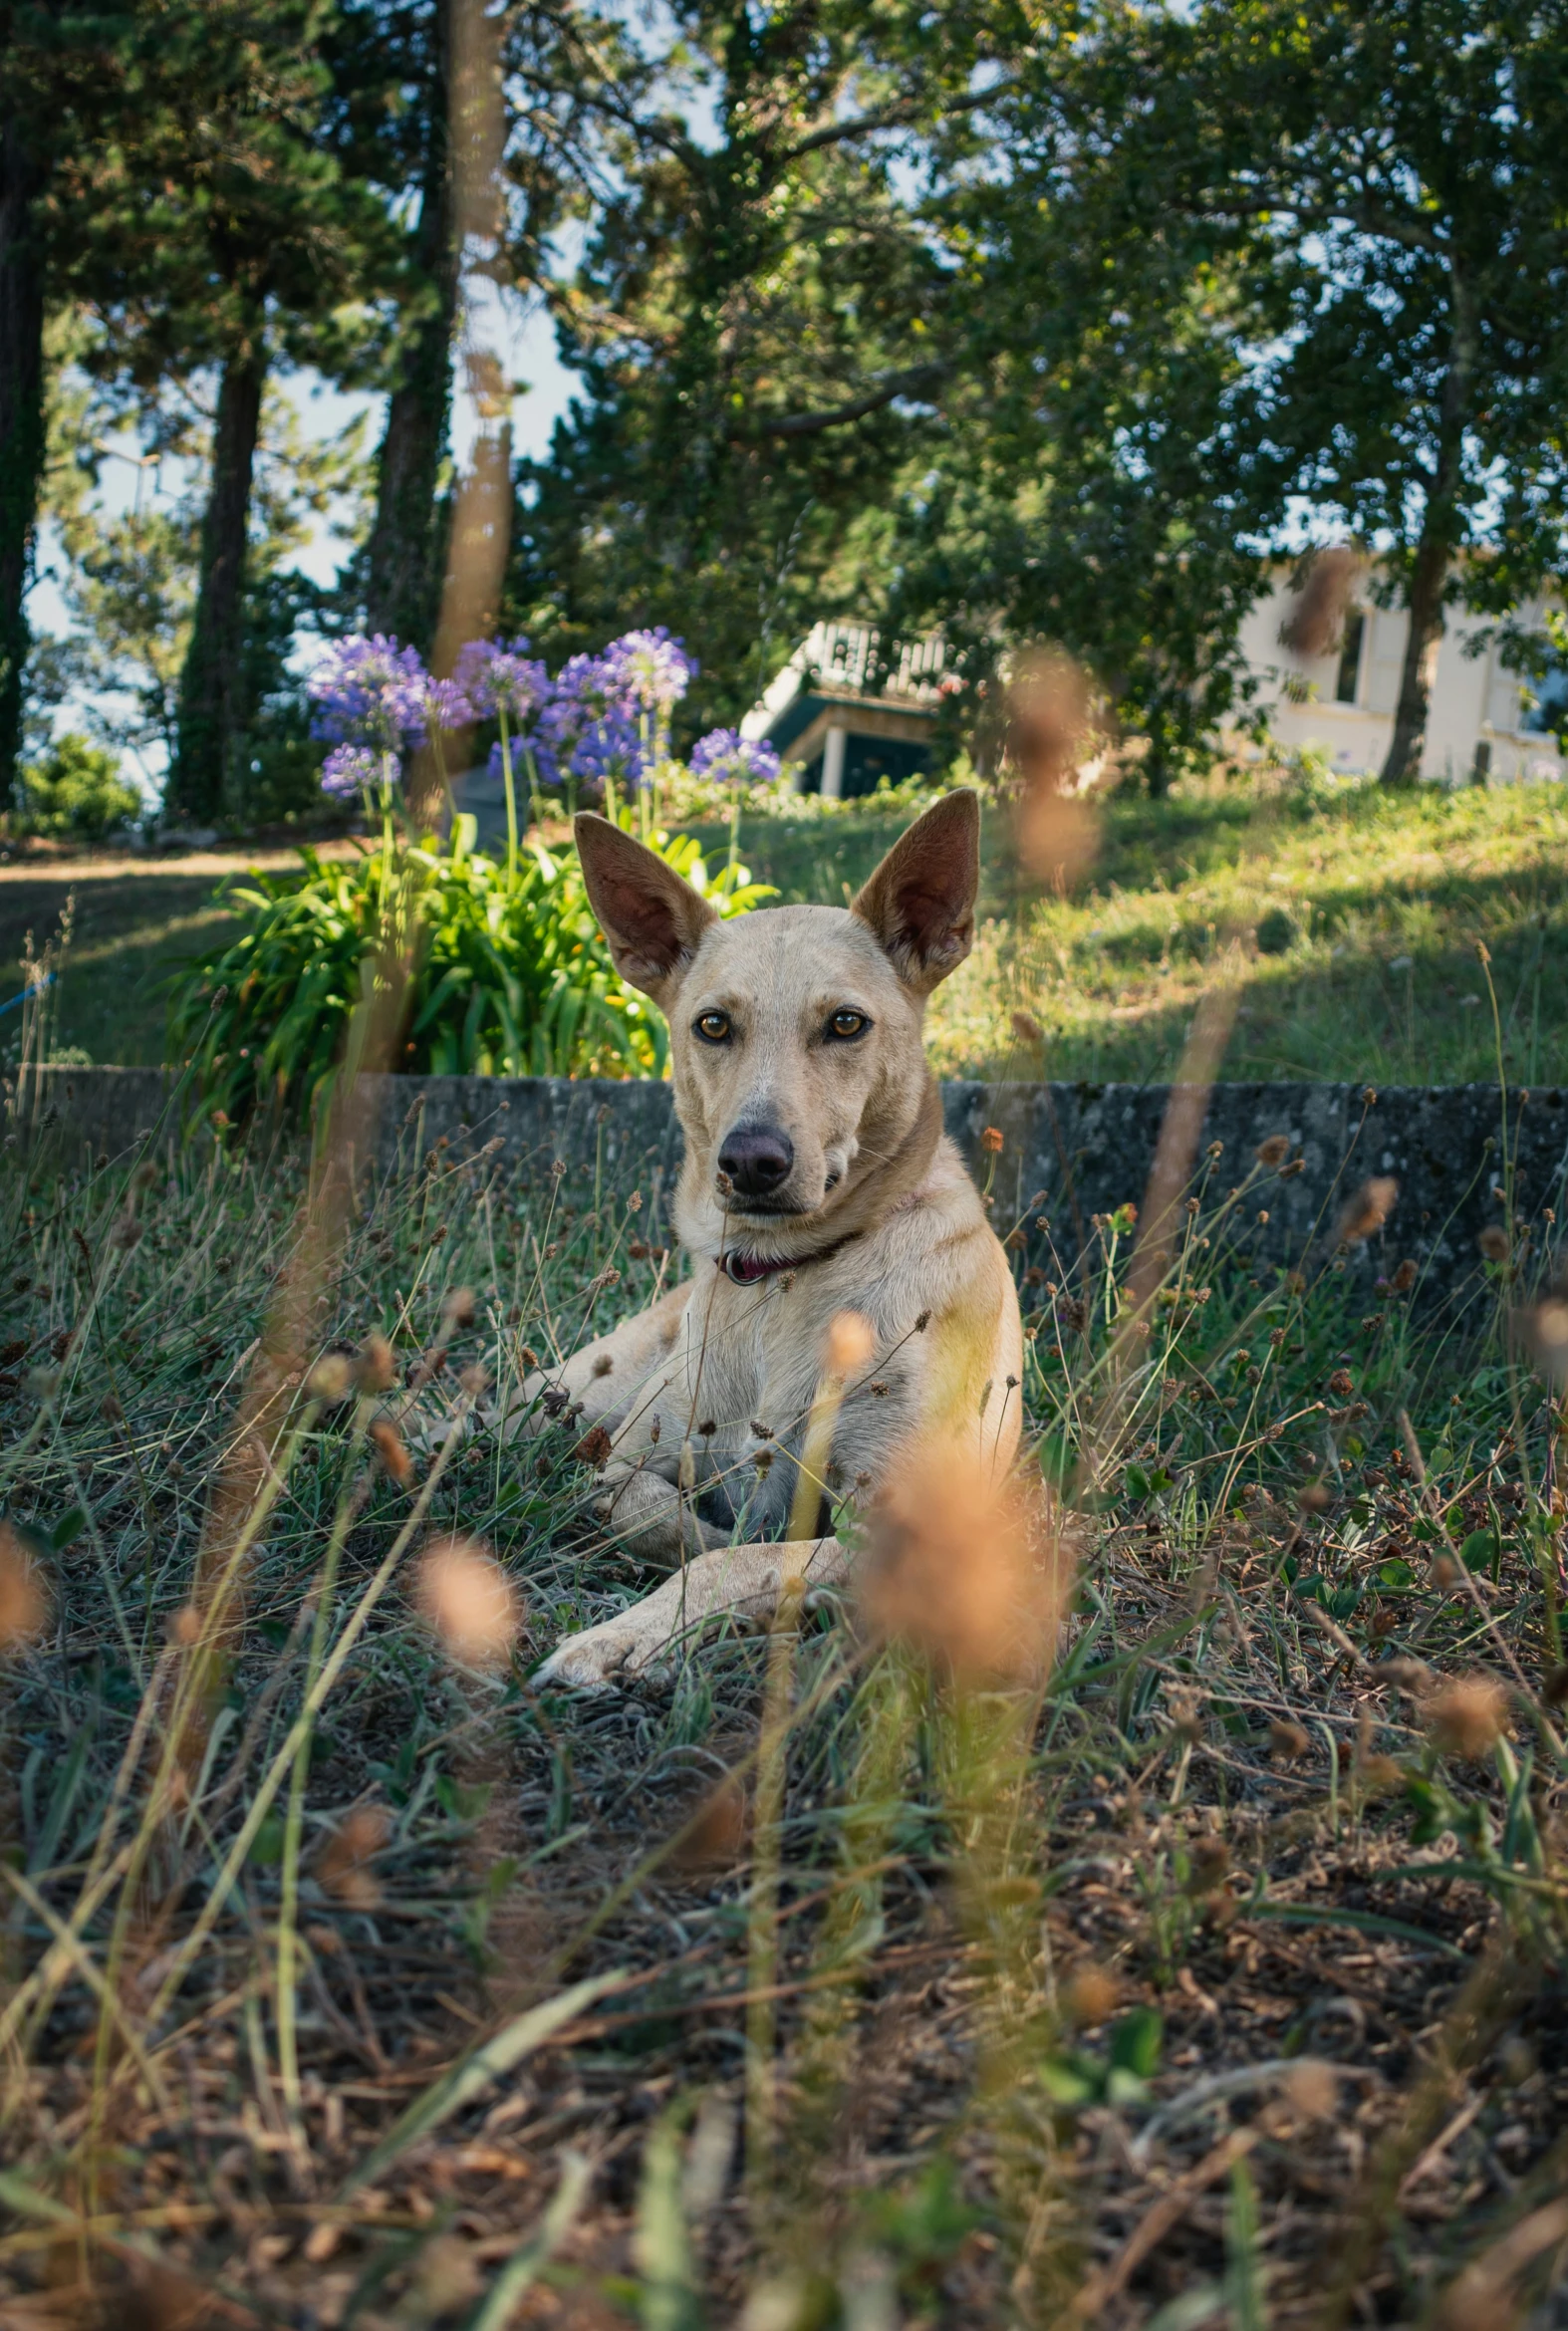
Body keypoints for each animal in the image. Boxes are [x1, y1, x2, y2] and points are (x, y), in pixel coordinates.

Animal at [519, 792, 1020, 1687]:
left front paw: (632, 1630)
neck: (785, 1277)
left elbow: (738, 1560)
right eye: (713, 1025)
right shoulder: (630, 1454)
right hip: (570, 1390)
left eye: (846, 1024)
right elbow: (637, 1508)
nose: (751, 1160)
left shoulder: (894, 1529)